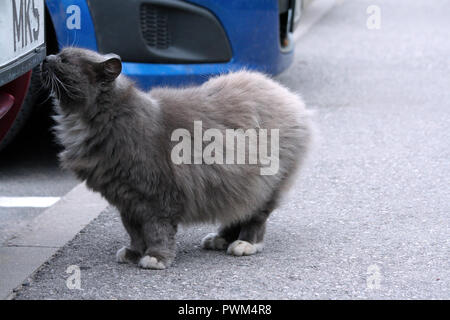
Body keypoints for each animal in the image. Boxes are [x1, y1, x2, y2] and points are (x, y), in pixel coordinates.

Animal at [42, 47, 312, 268]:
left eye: (65, 60)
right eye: (58, 53)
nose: (46, 57)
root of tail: (287, 95)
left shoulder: (158, 197)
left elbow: (157, 231)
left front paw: (155, 258)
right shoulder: (126, 200)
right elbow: (134, 232)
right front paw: (133, 253)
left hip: (264, 187)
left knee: (255, 219)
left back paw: (244, 244)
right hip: (238, 188)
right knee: (237, 213)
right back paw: (219, 239)